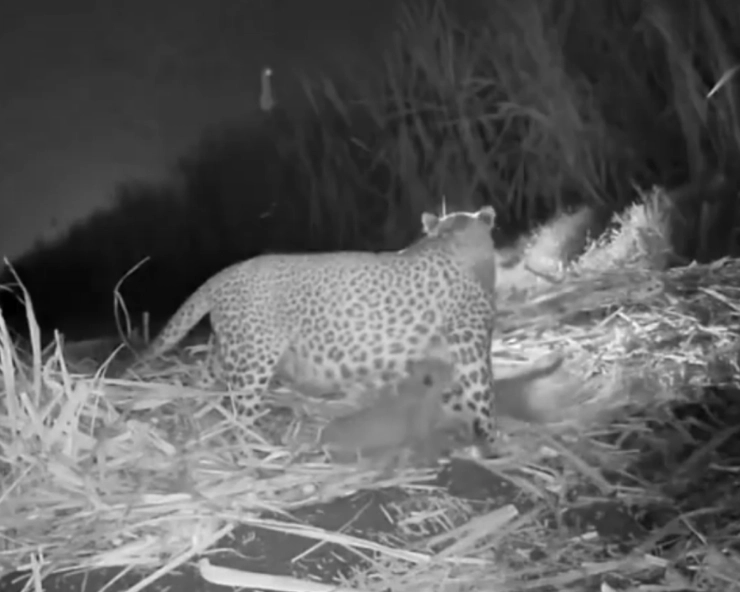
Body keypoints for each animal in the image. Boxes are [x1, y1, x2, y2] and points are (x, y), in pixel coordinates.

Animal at [136, 206, 500, 446]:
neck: (451, 242)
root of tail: (224, 274)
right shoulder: (470, 345)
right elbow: (480, 394)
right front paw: (492, 438)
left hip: (231, 350)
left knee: (204, 382)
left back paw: (195, 420)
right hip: (253, 361)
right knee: (241, 410)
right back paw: (255, 449)